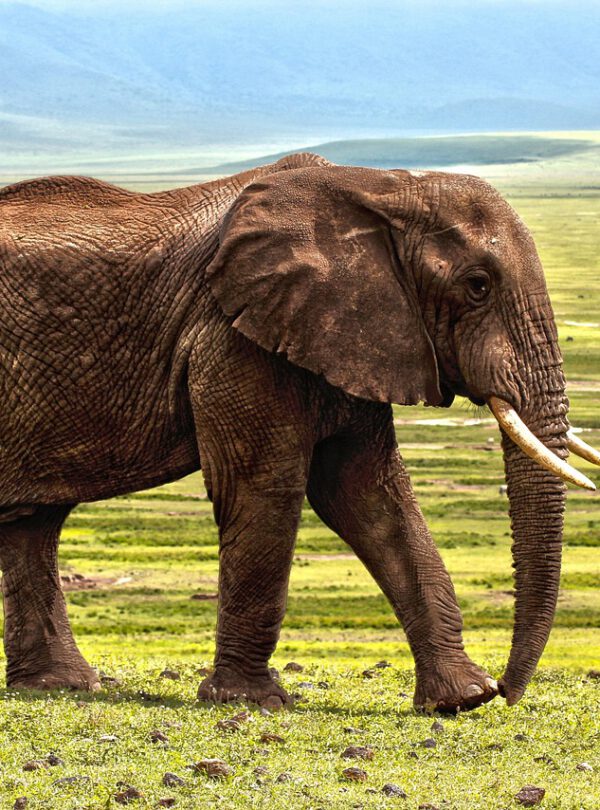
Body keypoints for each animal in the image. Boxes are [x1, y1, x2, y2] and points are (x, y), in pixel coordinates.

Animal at [0, 151, 598, 713]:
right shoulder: (234, 335)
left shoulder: (351, 334)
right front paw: (250, 701)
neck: (380, 186)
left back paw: (59, 686)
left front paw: (461, 699)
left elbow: (369, 497)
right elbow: (265, 488)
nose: (508, 691)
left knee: (33, 522)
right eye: (477, 286)